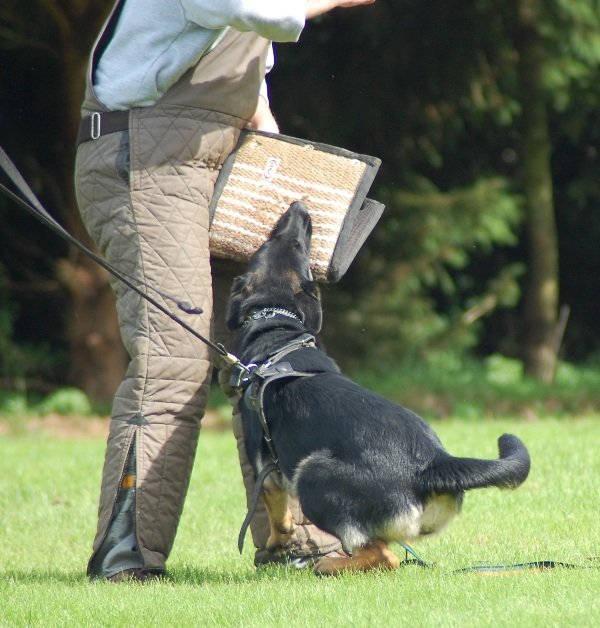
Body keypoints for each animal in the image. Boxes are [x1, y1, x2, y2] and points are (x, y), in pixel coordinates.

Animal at [225, 201, 531, 575]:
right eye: (281, 243)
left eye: (294, 245)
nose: (299, 208)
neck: (277, 326)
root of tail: (434, 463)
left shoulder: (267, 472)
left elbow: (278, 519)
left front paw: (275, 548)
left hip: (312, 474)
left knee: (383, 555)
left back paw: (328, 565)